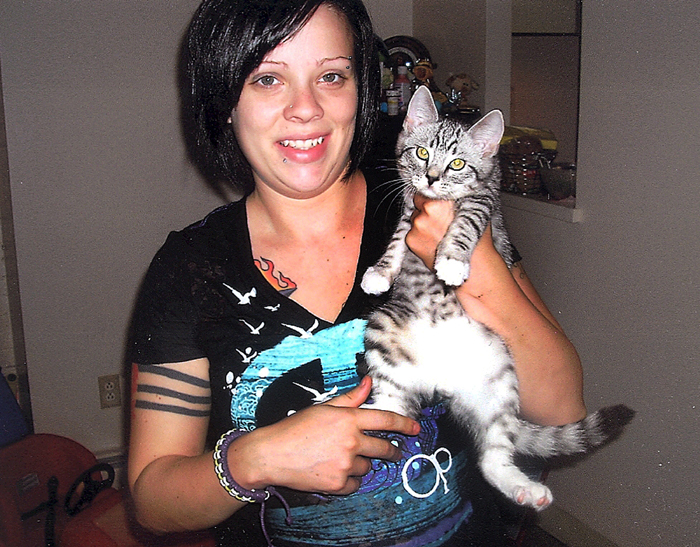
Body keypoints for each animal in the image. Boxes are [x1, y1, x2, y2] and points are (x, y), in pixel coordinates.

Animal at [360, 85, 636, 510]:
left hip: (501, 379)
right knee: (398, 409)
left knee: (490, 455)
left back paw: (524, 487)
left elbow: (464, 224)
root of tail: (443, 381)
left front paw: (452, 260)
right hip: (384, 327)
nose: (432, 177)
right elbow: (397, 239)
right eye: (421, 153)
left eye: (457, 162)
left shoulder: (485, 200)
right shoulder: (409, 207)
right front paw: (380, 271)